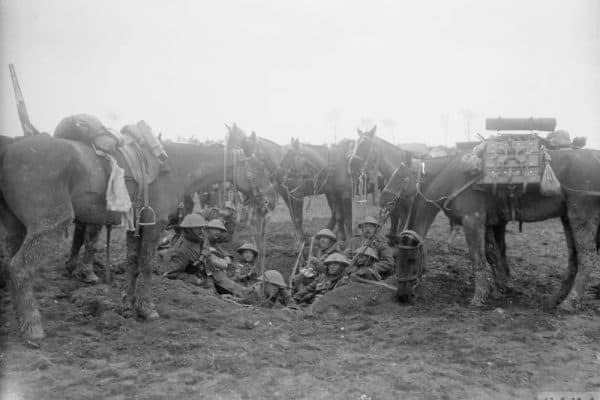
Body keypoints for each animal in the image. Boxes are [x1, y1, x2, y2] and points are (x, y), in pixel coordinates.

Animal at [0, 133, 276, 340]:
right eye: (261, 166)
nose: (270, 202)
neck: (175, 166)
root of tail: (9, 149)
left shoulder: (136, 228)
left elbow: (132, 264)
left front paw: (128, 306)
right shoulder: (155, 227)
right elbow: (146, 266)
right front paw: (147, 309)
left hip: (17, 231)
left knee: (9, 266)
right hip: (49, 228)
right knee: (19, 268)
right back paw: (33, 328)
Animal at [384, 152, 600, 310]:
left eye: (410, 260)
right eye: (395, 259)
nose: (401, 296)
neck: (454, 178)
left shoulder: (473, 220)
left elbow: (477, 257)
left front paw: (480, 296)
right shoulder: (488, 223)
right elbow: (492, 254)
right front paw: (503, 287)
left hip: (581, 217)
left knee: (586, 258)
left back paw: (570, 302)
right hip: (568, 219)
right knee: (574, 260)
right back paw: (556, 298)